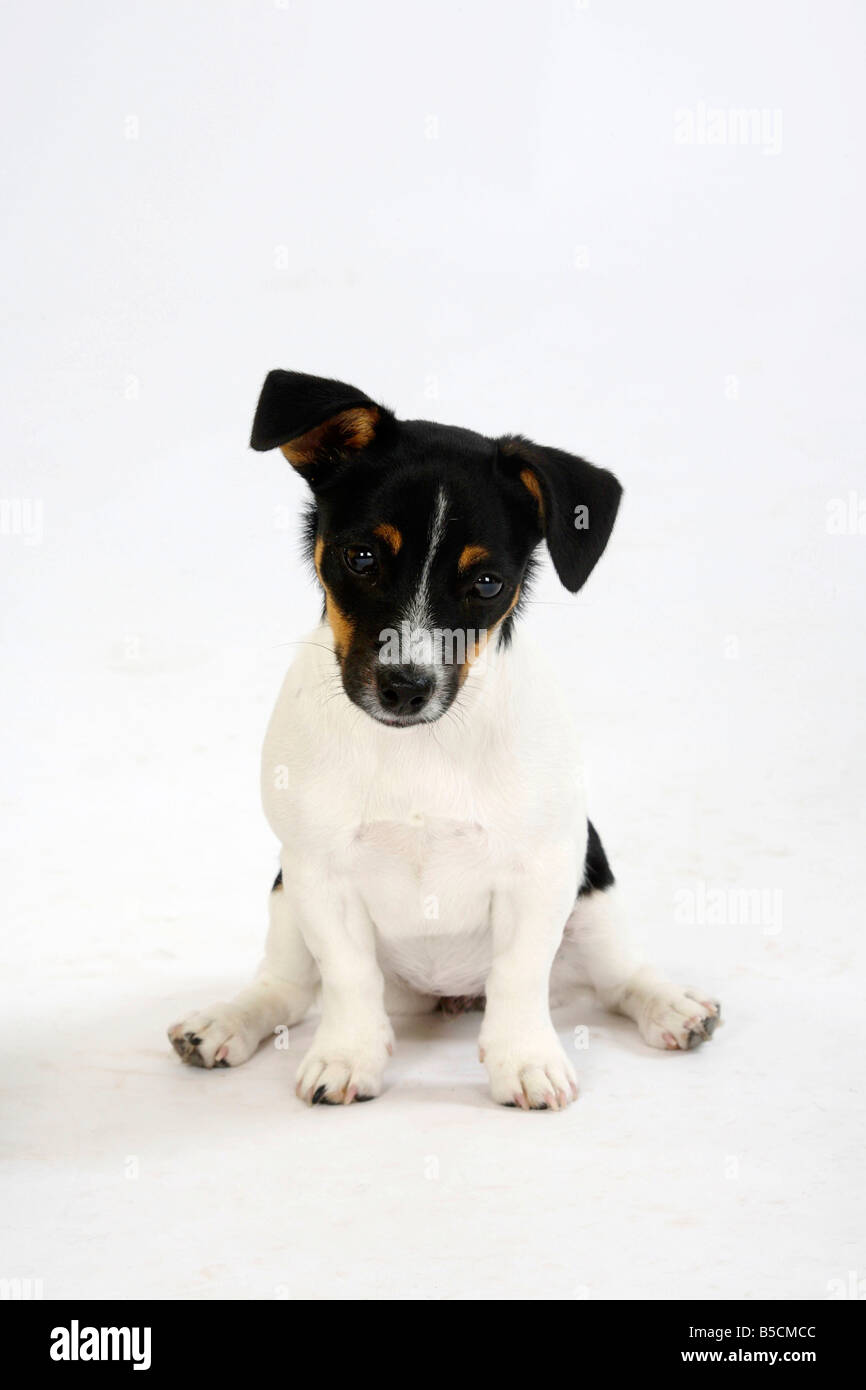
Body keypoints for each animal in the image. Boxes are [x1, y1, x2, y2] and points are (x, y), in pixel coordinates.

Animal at [167, 366, 717, 1106]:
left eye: (486, 583)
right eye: (361, 556)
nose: (405, 686)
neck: (418, 746)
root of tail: (447, 995)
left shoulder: (543, 871)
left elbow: (519, 974)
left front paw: (525, 1060)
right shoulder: (318, 872)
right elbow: (348, 976)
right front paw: (348, 1056)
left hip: (593, 886)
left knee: (617, 978)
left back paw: (671, 1006)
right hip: (285, 895)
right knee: (286, 988)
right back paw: (226, 1021)